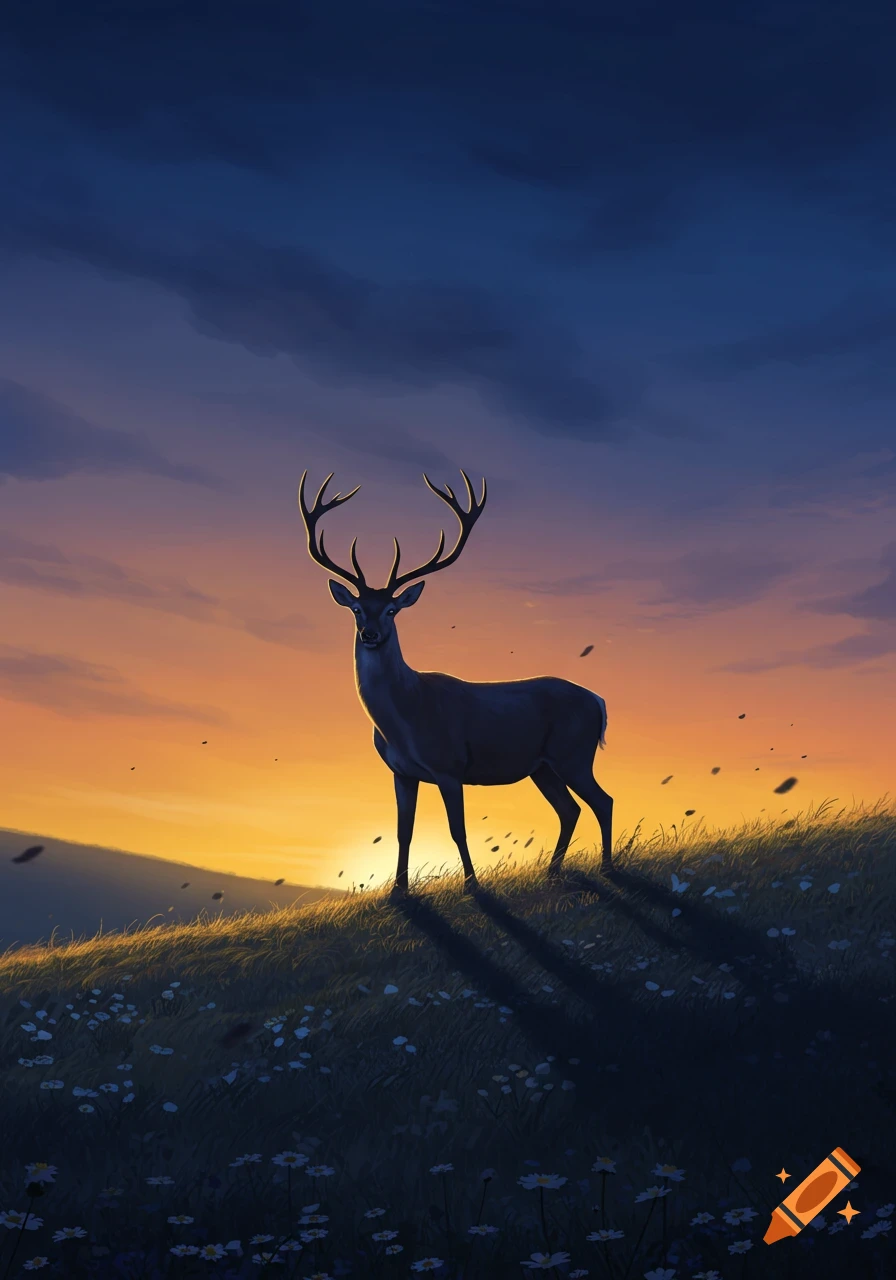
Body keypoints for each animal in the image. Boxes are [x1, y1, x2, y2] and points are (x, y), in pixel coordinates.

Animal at [298, 468, 613, 897]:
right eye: (358, 609)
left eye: (392, 610)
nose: (370, 634)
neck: (404, 719)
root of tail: (598, 701)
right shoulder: (401, 772)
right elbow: (403, 831)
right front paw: (398, 890)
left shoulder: (450, 765)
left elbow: (457, 829)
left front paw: (473, 885)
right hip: (543, 765)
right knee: (571, 808)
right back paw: (553, 871)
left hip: (574, 752)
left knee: (602, 801)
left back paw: (608, 866)